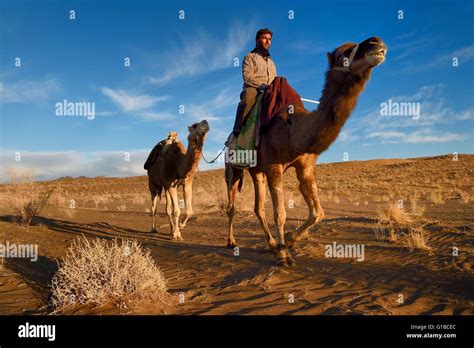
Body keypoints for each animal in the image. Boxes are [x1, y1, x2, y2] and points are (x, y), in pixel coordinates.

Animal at [227, 36, 388, 266]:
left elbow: (318, 213)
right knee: (231, 204)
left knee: (258, 207)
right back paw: (232, 241)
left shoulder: (305, 166)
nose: (376, 42)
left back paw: (271, 244)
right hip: (233, 168)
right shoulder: (274, 166)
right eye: (342, 54)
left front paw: (290, 240)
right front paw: (284, 255)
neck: (294, 129)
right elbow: (280, 213)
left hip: (256, 171)